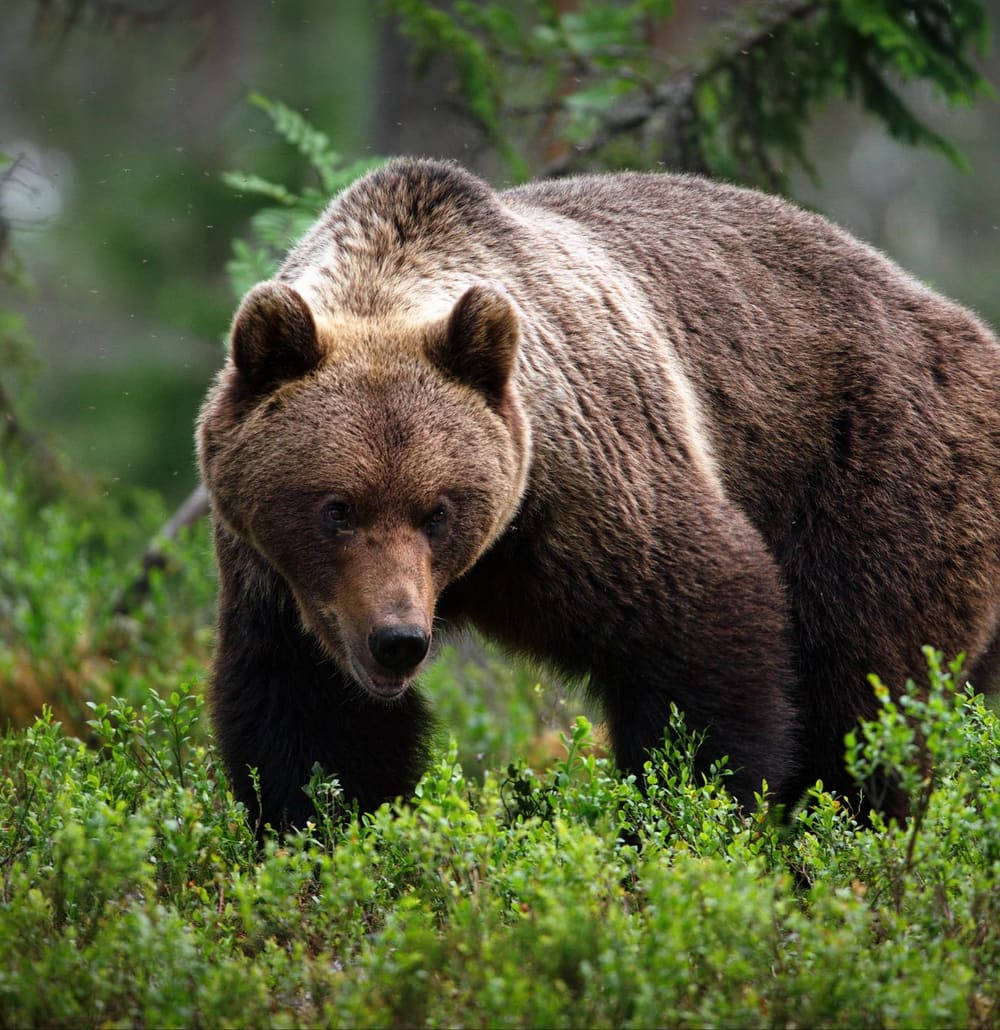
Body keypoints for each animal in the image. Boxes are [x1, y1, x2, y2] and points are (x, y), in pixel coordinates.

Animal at [197, 158, 1000, 831]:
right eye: (336, 508)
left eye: (438, 510)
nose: (398, 641)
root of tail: (966, 325)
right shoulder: (278, 583)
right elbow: (311, 725)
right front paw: (323, 829)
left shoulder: (590, 490)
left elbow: (701, 635)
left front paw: (686, 813)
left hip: (873, 474)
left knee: (865, 695)